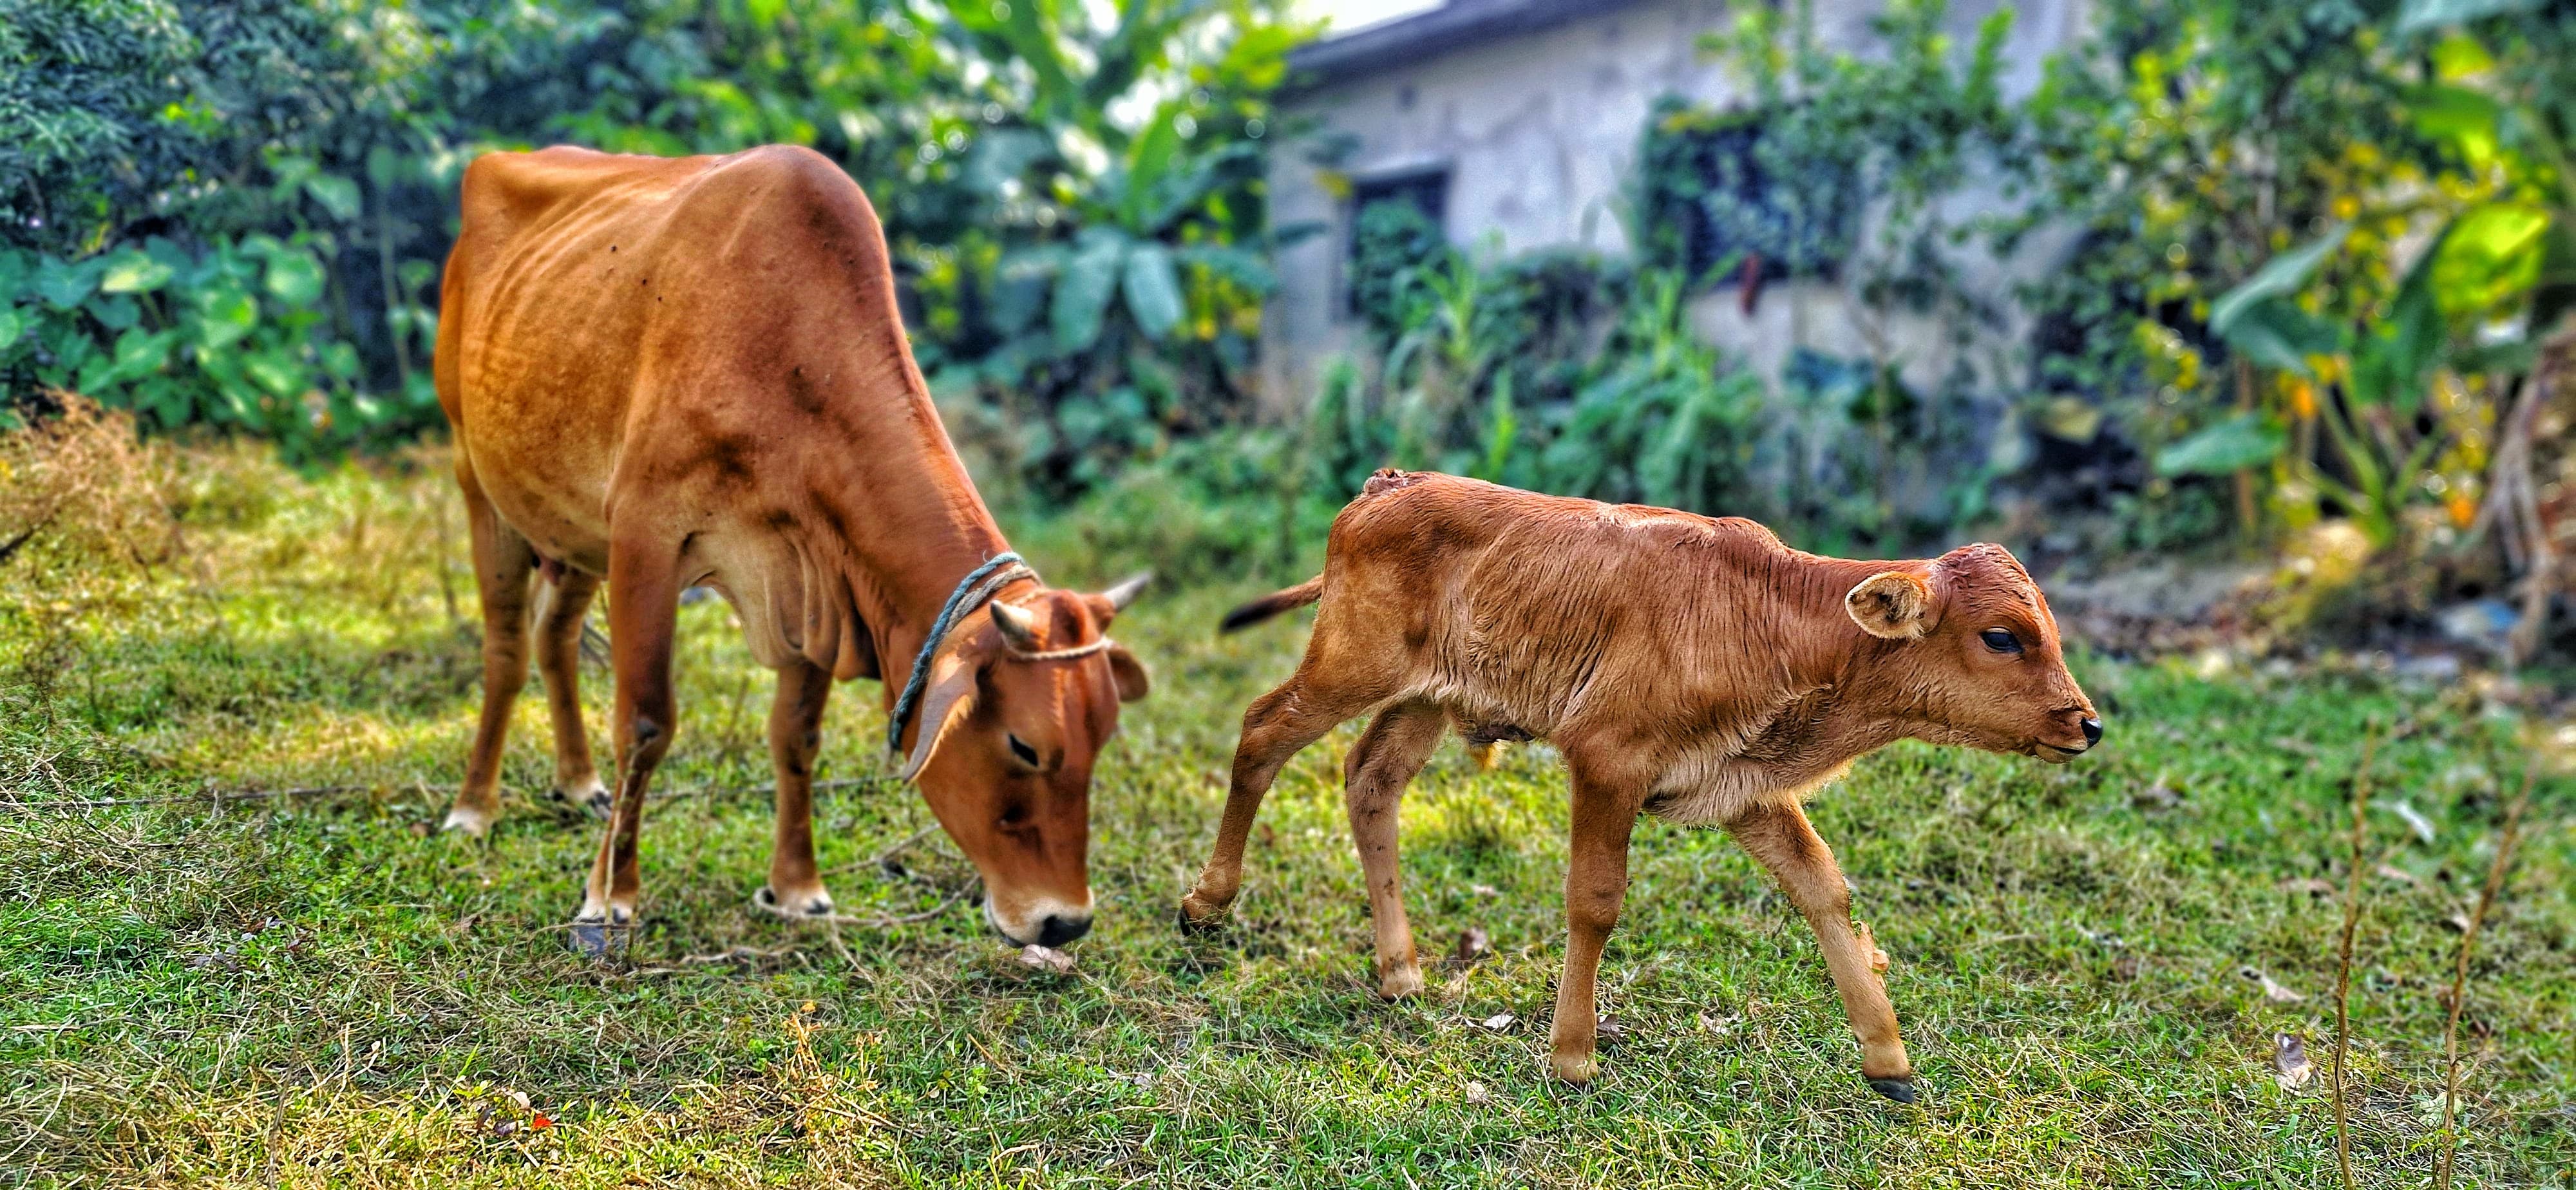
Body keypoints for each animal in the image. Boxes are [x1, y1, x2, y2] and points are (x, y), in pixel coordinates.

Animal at [433, 144, 1149, 954]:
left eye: (1103, 734)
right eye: (1025, 746)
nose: (1066, 921)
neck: (790, 362)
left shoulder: (814, 574)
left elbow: (797, 736)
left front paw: (797, 888)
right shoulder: (645, 537)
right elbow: (646, 725)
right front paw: (610, 897)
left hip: (571, 521)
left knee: (554, 636)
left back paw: (579, 782)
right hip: (475, 472)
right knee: (506, 649)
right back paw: (474, 808)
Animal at [1184, 470, 2100, 1100]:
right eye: (2002, 637)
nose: (2086, 724)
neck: (1771, 622)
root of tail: (1391, 484)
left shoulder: (1740, 785)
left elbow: (1822, 889)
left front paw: (1887, 1056)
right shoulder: (1607, 760)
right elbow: (1595, 901)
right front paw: (1572, 1054)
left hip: (1427, 698)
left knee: (1370, 779)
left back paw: (1400, 970)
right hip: (1350, 662)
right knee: (1261, 732)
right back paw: (1206, 902)